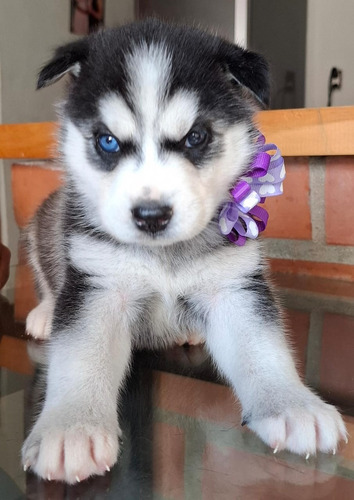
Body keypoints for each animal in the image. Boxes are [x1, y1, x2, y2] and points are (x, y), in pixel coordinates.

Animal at [23, 20, 348, 484]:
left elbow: (262, 348)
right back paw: (46, 312)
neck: (165, 255)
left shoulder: (233, 286)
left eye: (196, 137)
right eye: (108, 141)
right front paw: (71, 428)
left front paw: (292, 405)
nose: (151, 215)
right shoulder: (98, 286)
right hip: (45, 223)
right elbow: (80, 357)